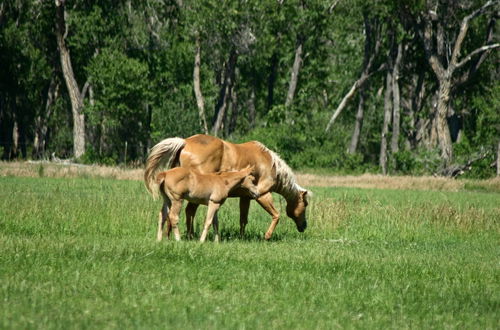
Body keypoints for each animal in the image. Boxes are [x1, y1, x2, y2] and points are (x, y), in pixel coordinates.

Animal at [145, 134, 308, 240]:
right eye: (305, 204)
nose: (304, 226)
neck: (270, 164)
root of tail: (185, 142)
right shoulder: (262, 195)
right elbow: (276, 215)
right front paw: (267, 236)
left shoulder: (246, 197)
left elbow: (243, 219)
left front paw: (242, 237)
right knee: (187, 211)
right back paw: (189, 236)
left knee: (173, 213)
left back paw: (169, 236)